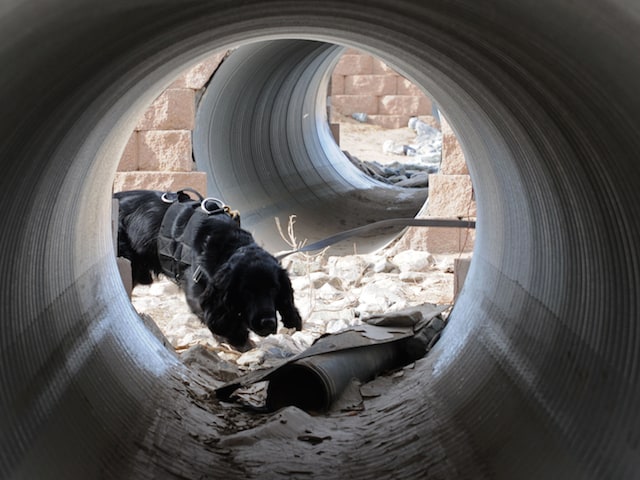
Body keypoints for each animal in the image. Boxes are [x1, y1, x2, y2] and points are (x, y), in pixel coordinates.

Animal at [114, 189, 302, 350]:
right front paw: (239, 339)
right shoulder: (198, 293)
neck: (227, 244)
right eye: (246, 291)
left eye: (275, 289)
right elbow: (220, 318)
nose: (268, 323)